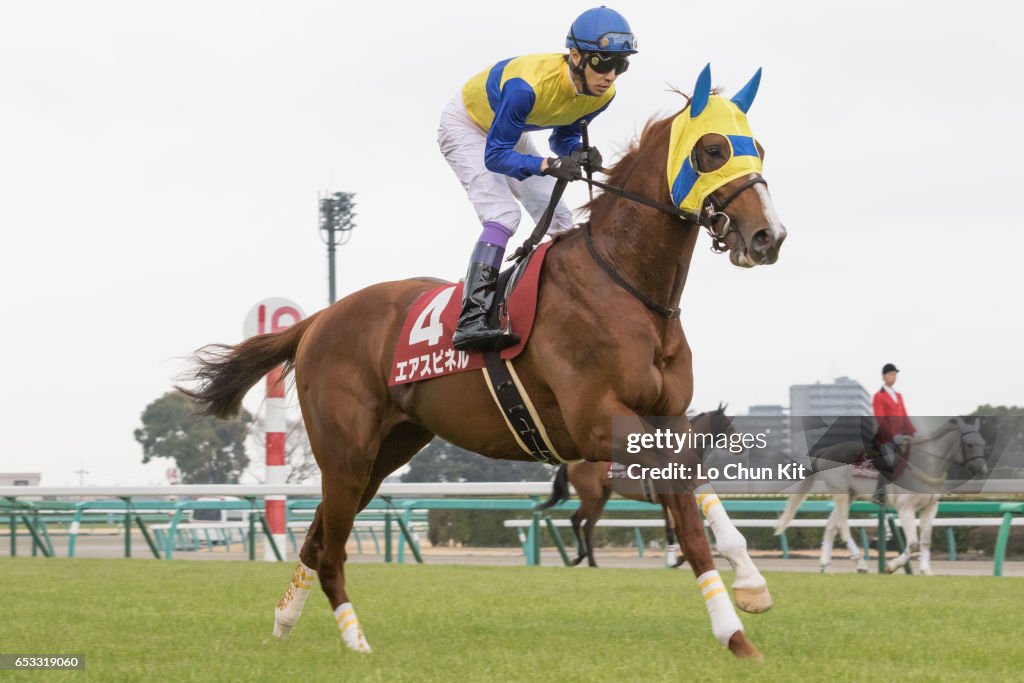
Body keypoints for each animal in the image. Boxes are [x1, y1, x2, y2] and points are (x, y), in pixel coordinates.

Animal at [532, 405, 733, 565]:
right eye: (726, 423)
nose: (739, 443)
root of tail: (573, 463)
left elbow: (674, 528)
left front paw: (679, 558)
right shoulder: (667, 499)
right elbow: (672, 529)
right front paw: (676, 560)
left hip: (602, 496)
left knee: (588, 526)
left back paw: (593, 563)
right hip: (591, 495)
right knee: (576, 520)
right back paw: (580, 556)